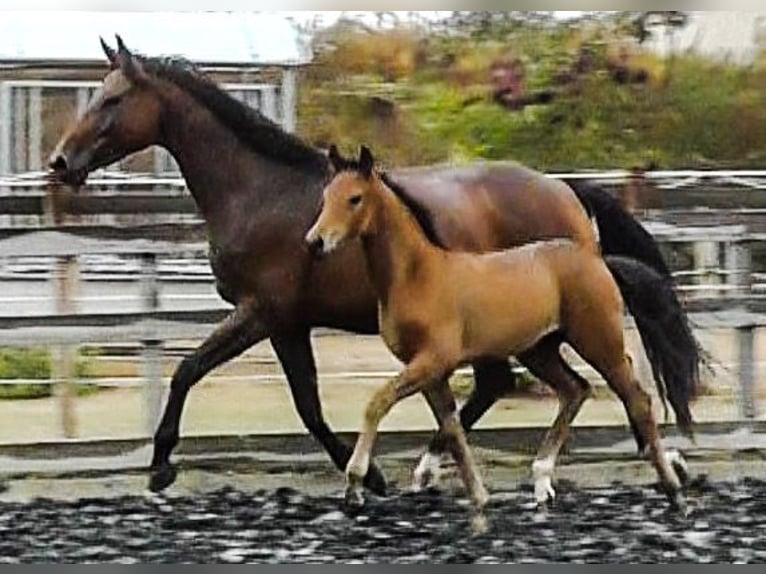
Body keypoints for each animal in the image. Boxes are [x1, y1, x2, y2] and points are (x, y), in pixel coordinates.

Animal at [305, 145, 689, 525]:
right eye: (325, 197)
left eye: (354, 198)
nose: (315, 242)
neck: (419, 275)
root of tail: (599, 262)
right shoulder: (429, 372)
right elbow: (452, 429)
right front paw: (478, 497)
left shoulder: (433, 361)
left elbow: (378, 404)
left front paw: (354, 487)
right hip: (538, 350)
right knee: (575, 389)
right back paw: (542, 480)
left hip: (597, 341)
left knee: (636, 399)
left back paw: (674, 491)